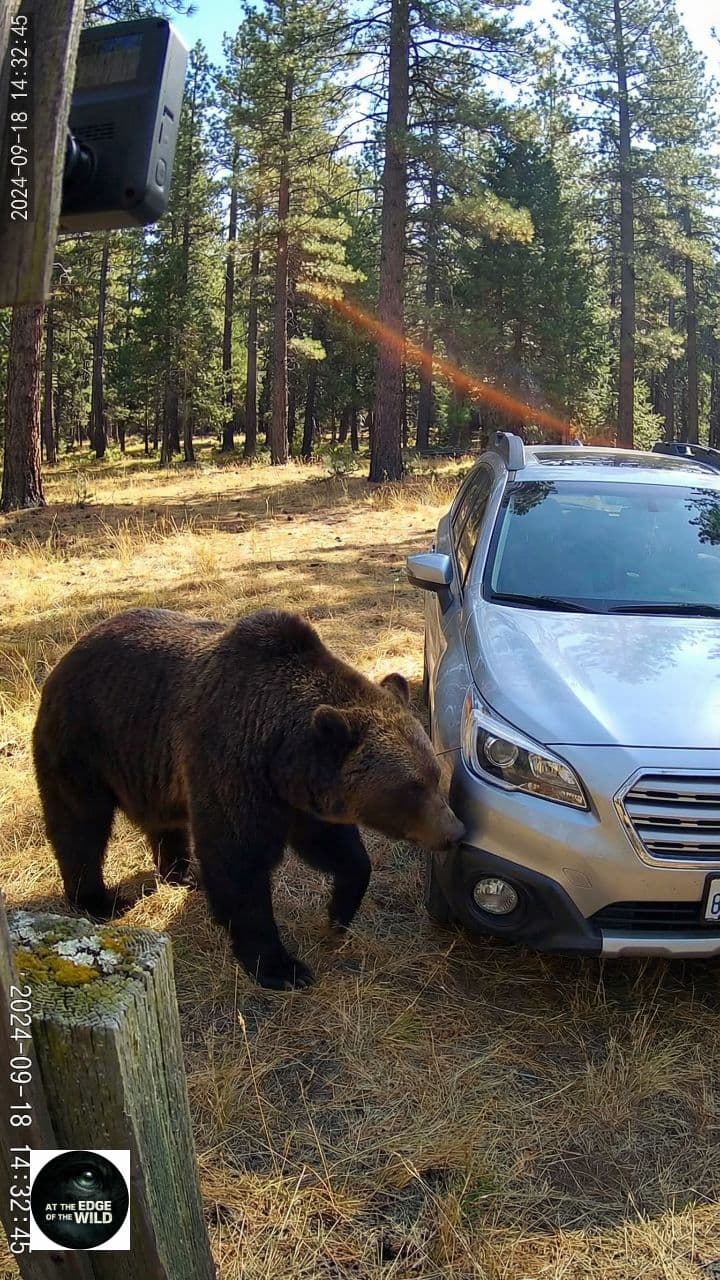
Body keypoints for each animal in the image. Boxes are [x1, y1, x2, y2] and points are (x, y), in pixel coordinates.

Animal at [32, 608, 464, 989]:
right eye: (412, 787)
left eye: (435, 774)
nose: (455, 831)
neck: (279, 752)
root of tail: (72, 650)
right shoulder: (232, 763)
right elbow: (238, 862)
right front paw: (282, 967)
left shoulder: (300, 796)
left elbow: (338, 850)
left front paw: (337, 914)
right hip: (83, 739)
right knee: (80, 823)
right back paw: (99, 900)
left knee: (164, 822)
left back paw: (181, 875)